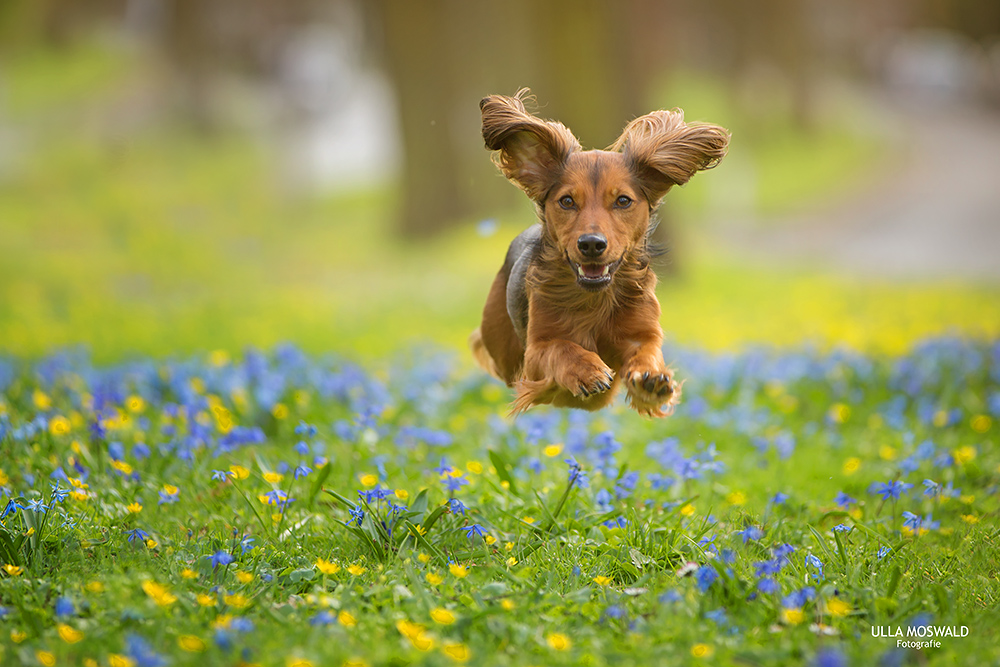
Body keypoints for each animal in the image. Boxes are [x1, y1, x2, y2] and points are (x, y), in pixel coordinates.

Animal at [468, 90, 728, 418]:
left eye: (623, 201)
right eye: (567, 201)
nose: (592, 244)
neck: (595, 299)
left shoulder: (642, 333)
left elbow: (646, 352)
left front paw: (651, 382)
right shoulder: (535, 354)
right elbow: (560, 347)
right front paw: (586, 370)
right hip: (502, 347)